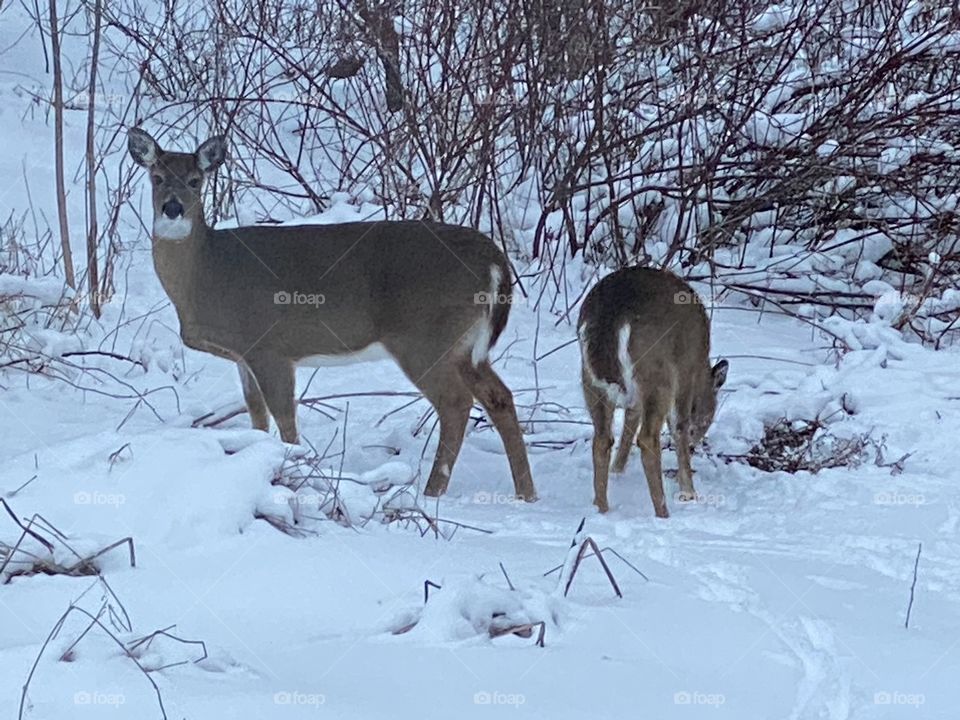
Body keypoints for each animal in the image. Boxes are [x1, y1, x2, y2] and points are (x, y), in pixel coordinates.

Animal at [127, 127, 536, 502]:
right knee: (499, 396)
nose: (173, 209)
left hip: (424, 338)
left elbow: (284, 417)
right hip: (465, 345)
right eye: (156, 177)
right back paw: (526, 494)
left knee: (455, 402)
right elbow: (257, 415)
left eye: (196, 181)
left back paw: (432, 492)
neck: (206, 273)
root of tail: (494, 260)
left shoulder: (270, 347)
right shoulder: (243, 355)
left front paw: (292, 469)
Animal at [577, 267, 728, 518]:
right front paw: (688, 492)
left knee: (602, 439)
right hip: (657, 374)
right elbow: (678, 426)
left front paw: (618, 468)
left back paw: (601, 507)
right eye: (709, 417)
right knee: (647, 439)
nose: (696, 441)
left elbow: (630, 420)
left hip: (590, 379)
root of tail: (613, 315)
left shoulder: (633, 397)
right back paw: (663, 512)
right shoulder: (685, 373)